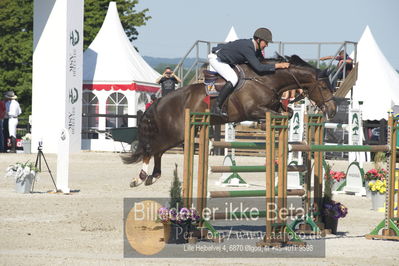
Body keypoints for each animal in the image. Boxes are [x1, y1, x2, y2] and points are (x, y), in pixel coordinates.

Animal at [123, 54, 336, 187]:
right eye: (324, 87)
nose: (333, 111)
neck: (266, 80)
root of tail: (160, 101)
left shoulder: (275, 106)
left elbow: (289, 112)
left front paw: (268, 124)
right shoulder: (253, 110)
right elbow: (273, 114)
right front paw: (263, 124)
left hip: (179, 134)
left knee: (157, 151)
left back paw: (152, 177)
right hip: (176, 133)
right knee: (152, 149)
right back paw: (140, 178)